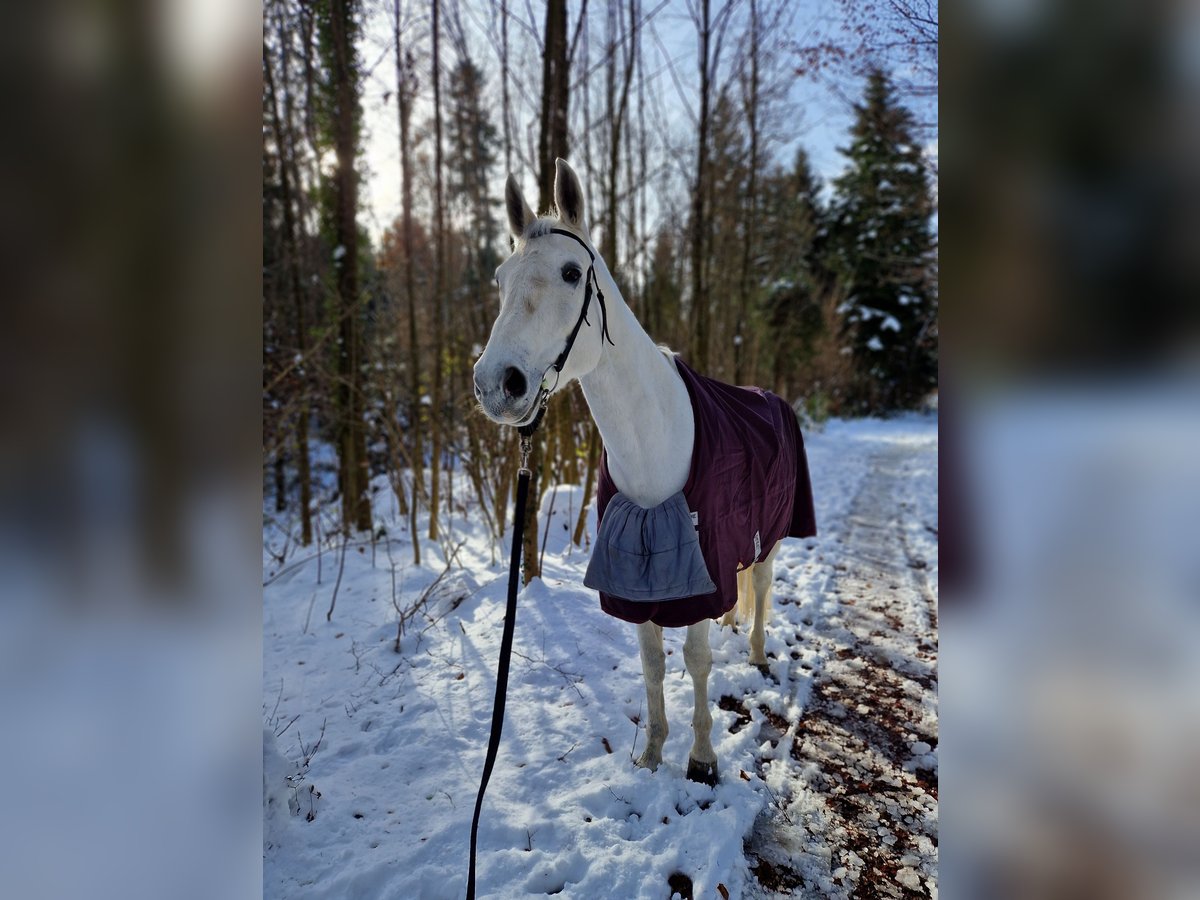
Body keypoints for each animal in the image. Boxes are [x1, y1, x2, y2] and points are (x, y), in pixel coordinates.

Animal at [477, 160, 787, 782]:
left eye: (572, 272)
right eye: (500, 278)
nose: (497, 384)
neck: (654, 439)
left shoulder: (697, 572)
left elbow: (695, 658)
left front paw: (701, 759)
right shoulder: (636, 576)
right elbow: (651, 662)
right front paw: (652, 754)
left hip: (770, 536)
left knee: (762, 587)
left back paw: (758, 655)